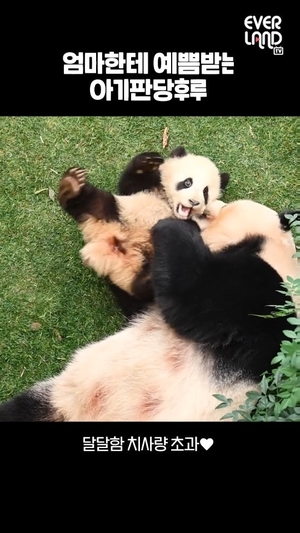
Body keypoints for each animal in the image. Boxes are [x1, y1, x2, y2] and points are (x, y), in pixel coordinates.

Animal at [0, 198, 298, 420]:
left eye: (224, 207)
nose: (209, 204)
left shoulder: (260, 296)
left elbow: (193, 295)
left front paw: (173, 224)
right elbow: (147, 295)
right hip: (57, 401)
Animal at [56, 145, 230, 314]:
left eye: (205, 192)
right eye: (187, 183)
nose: (194, 202)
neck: (168, 204)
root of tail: (116, 249)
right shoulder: (147, 187)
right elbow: (128, 183)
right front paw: (148, 161)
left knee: (144, 289)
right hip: (114, 212)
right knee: (94, 201)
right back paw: (71, 185)